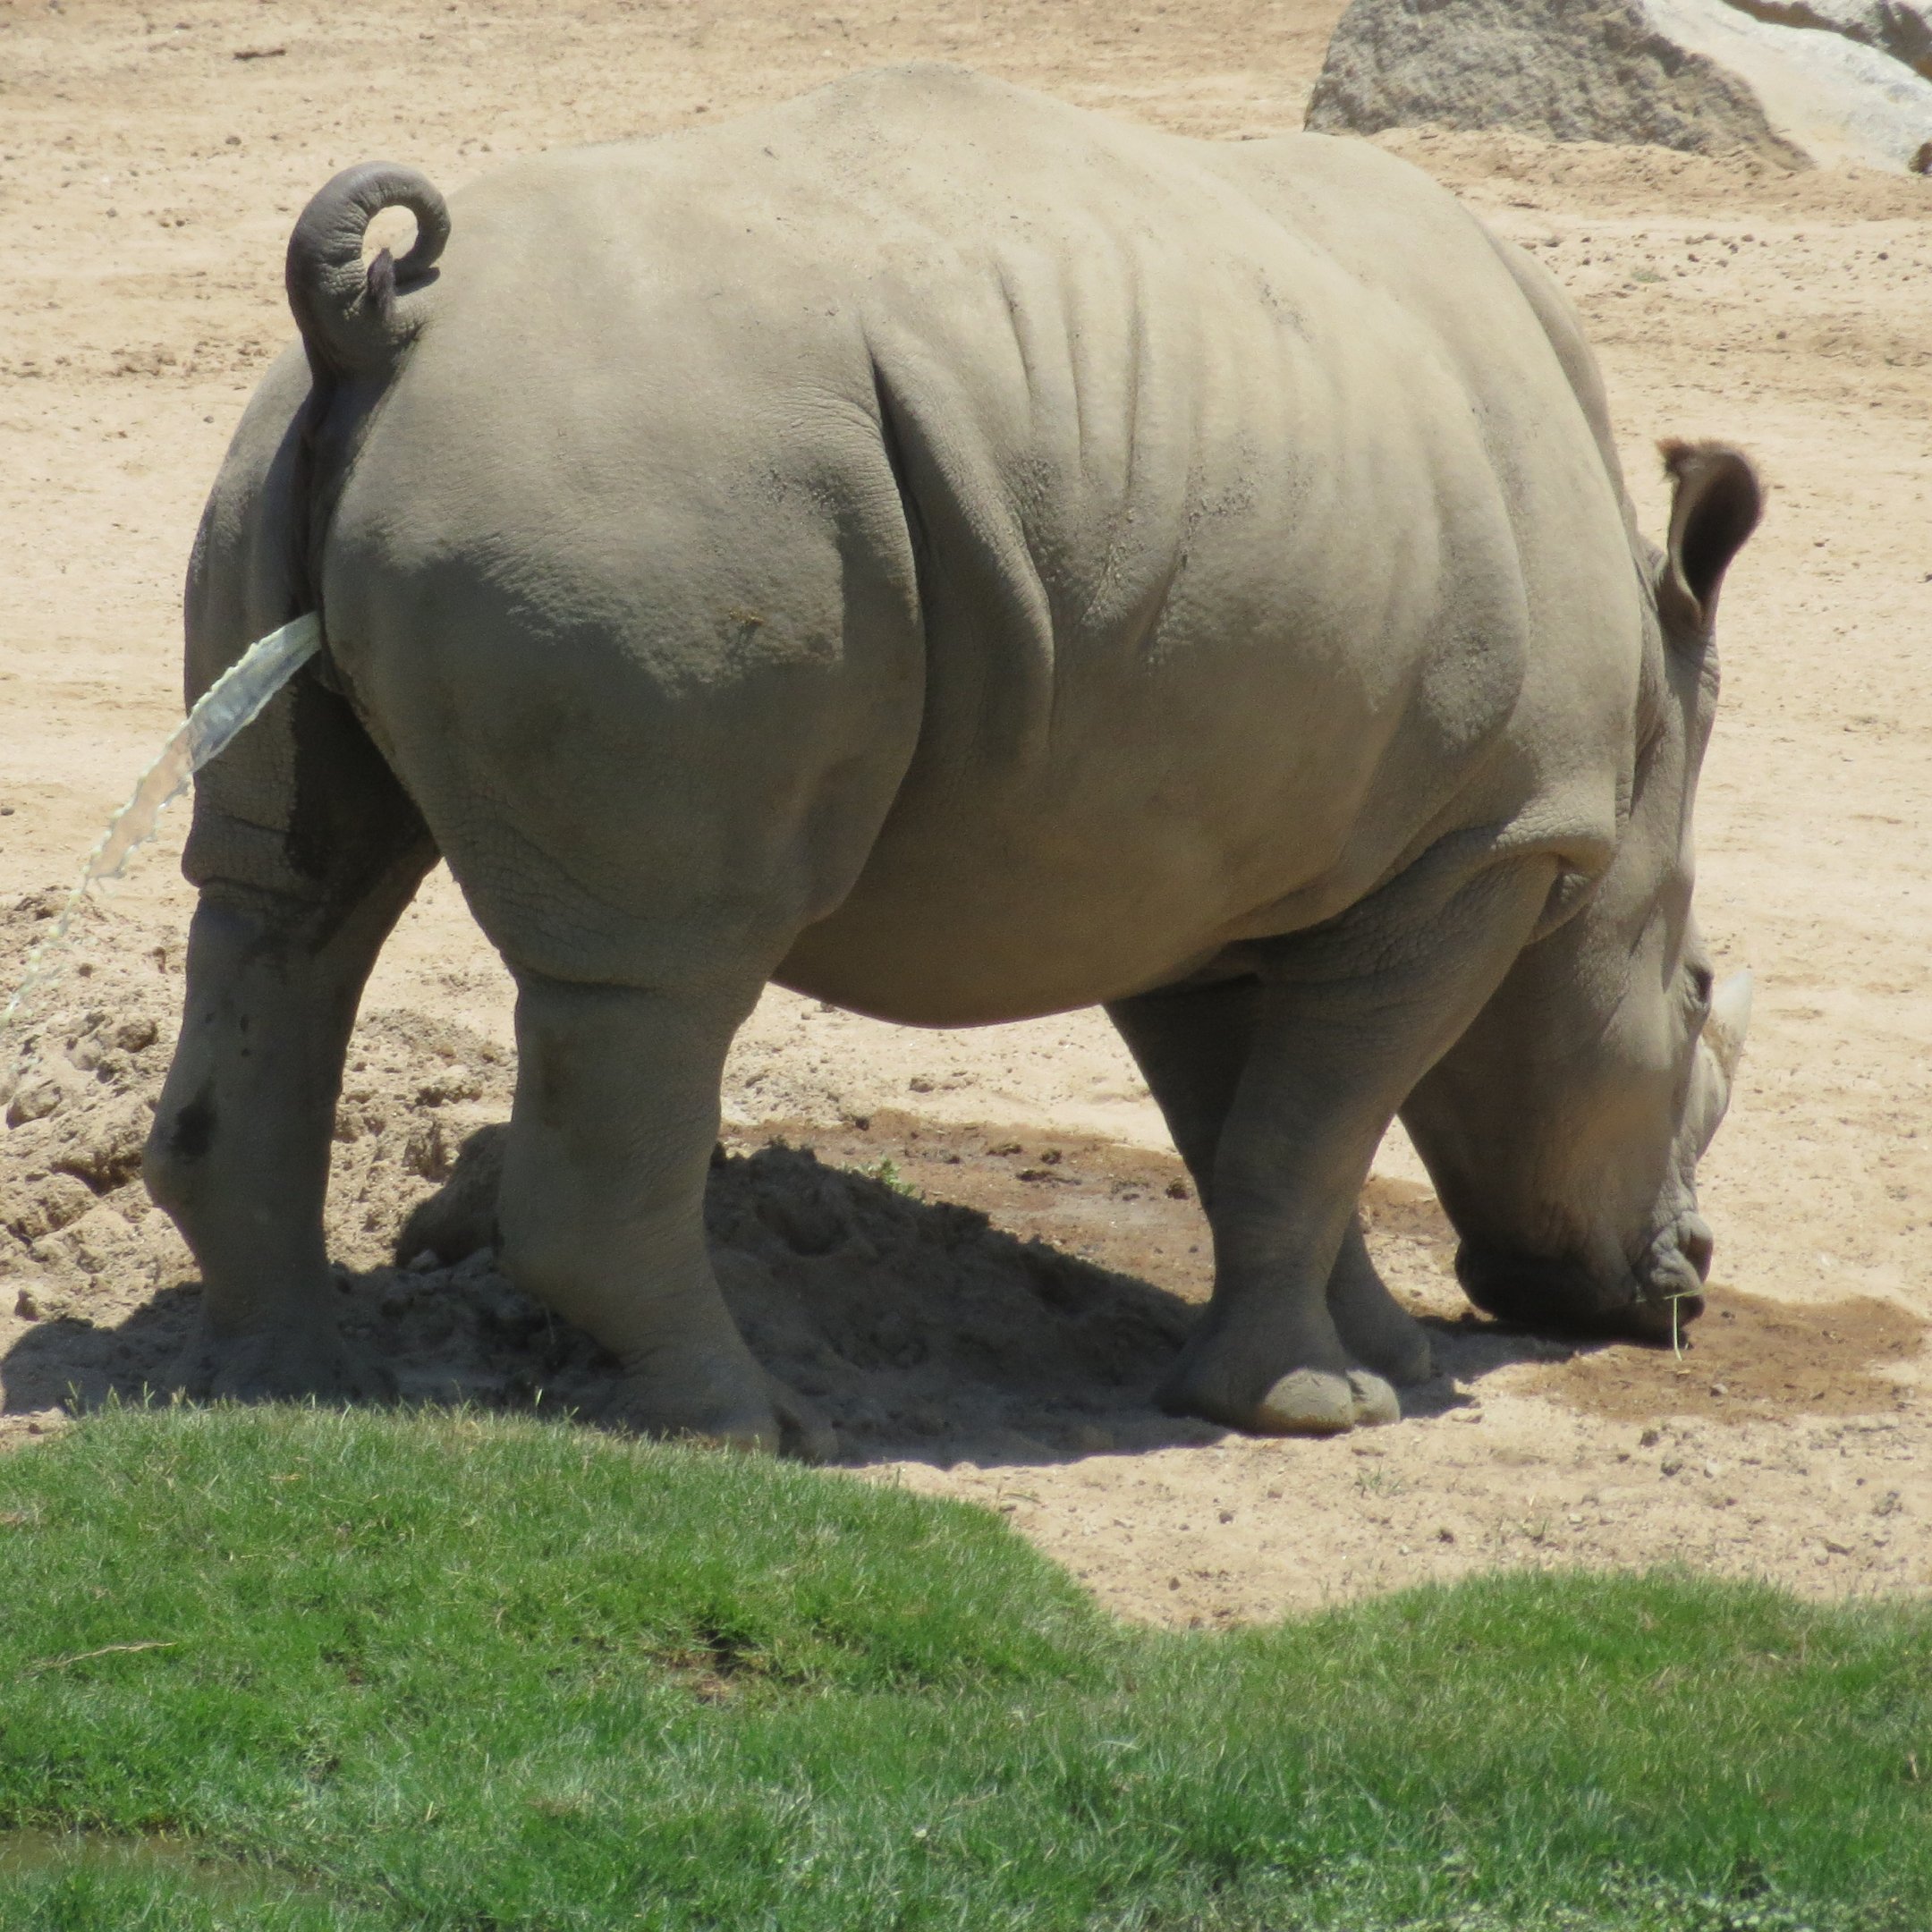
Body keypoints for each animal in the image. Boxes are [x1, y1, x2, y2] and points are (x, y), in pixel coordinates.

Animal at [143, 64, 1757, 1454]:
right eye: (1695, 995)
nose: (1678, 1275)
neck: (1638, 743)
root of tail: (380, 323)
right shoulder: (1489, 846)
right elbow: (1313, 1124)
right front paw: (1319, 1410)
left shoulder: (1204, 866)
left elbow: (1267, 1131)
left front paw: (1375, 1358)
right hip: (646, 489)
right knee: (664, 968)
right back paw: (750, 1431)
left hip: (295, 443)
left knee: (290, 901)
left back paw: (290, 1390)